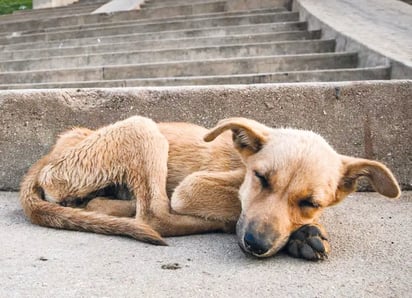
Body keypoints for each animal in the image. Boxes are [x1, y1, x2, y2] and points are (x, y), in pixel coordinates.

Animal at [18, 116, 400, 260]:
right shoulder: (192, 187)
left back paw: (106, 206)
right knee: (155, 215)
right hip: (142, 127)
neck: (241, 162)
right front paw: (302, 234)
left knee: (112, 205)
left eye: (310, 201)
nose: (256, 245)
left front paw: (304, 231)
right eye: (261, 179)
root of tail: (50, 155)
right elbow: (234, 206)